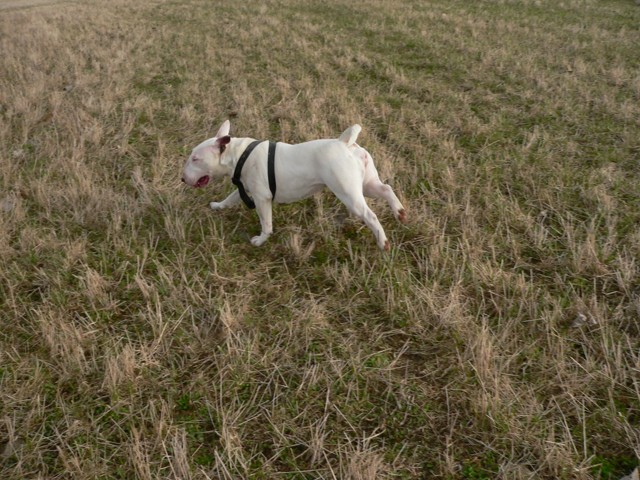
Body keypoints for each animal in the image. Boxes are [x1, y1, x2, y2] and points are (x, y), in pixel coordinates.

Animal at [181, 120, 406, 250]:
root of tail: (345, 143)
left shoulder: (262, 199)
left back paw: (383, 243)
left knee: (370, 215)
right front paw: (217, 206)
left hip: (349, 195)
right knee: (386, 189)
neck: (238, 154)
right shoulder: (245, 190)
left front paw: (260, 240)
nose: (183, 179)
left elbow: (267, 224)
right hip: (367, 185)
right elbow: (228, 200)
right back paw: (400, 212)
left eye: (195, 159)